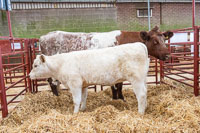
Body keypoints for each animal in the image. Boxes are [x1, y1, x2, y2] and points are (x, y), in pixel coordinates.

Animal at [39, 25, 173, 98]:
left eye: (164, 40)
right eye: (155, 41)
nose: (167, 55)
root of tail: (44, 37)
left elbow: (119, 85)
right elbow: (117, 86)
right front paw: (119, 99)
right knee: (52, 82)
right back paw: (57, 98)